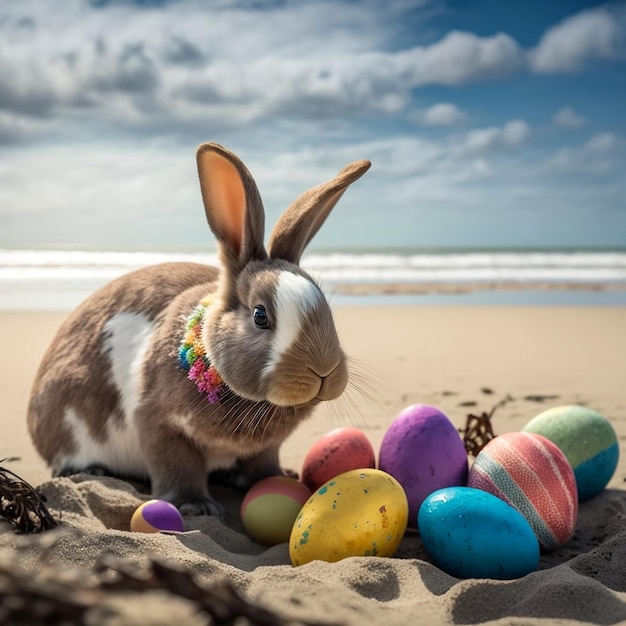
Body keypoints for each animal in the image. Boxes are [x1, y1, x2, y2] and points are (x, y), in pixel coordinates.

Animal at [28, 144, 370, 516]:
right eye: (260, 315)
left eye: (326, 307)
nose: (323, 370)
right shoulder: (157, 422)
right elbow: (175, 464)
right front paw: (195, 506)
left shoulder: (264, 448)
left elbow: (263, 466)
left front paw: (279, 480)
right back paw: (93, 471)